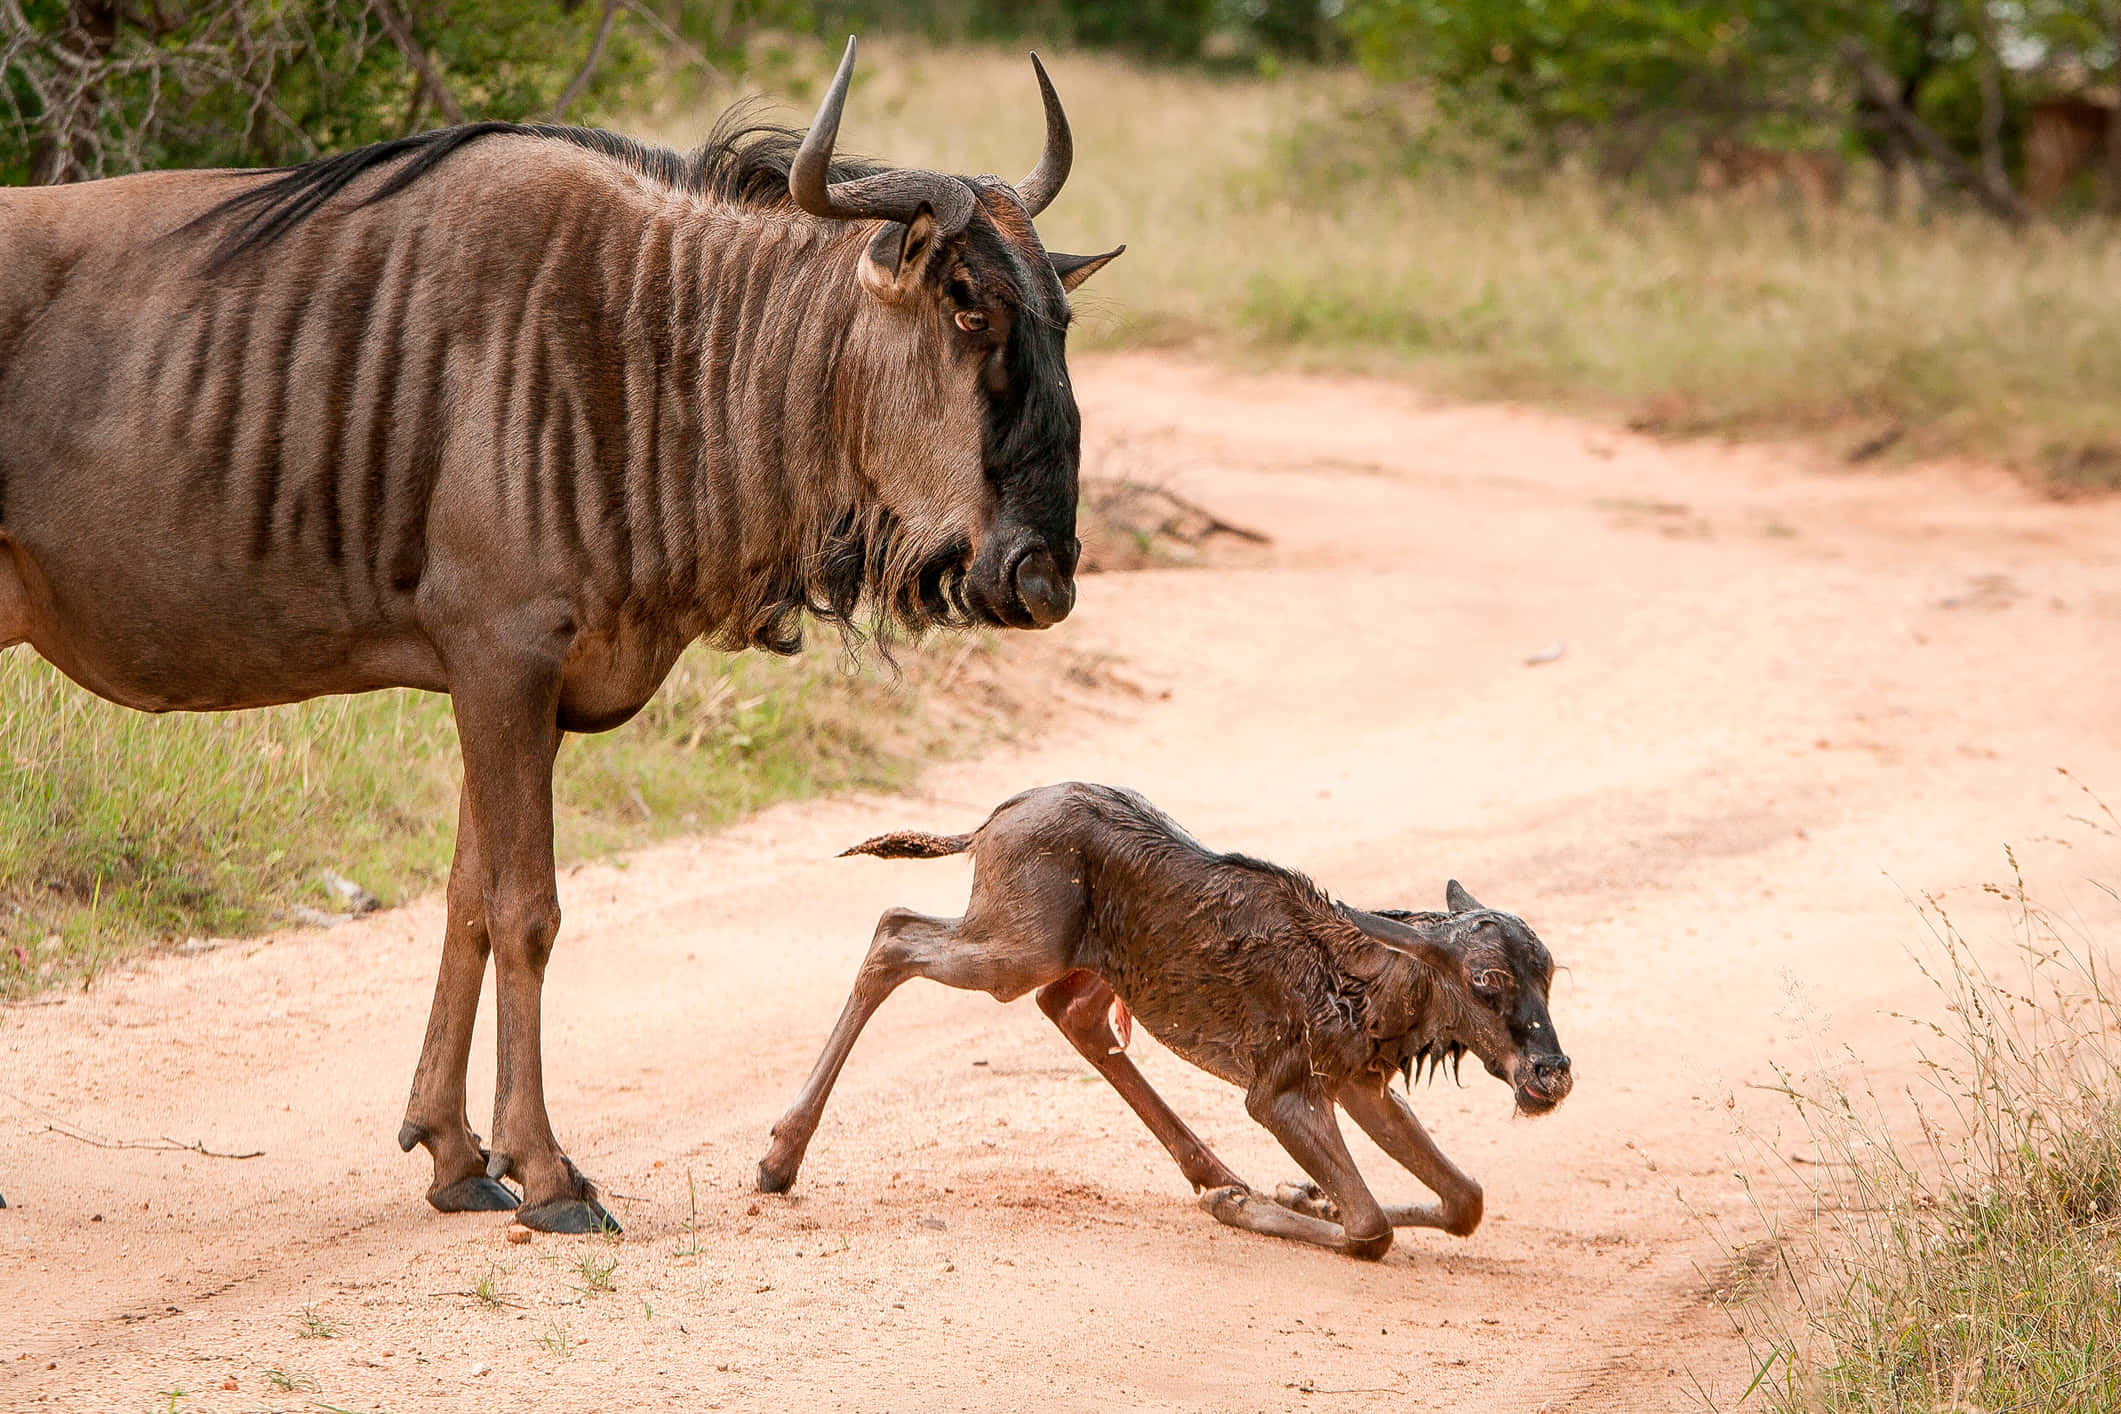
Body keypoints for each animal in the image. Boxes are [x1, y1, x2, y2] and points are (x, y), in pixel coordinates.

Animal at [0, 37, 1121, 1233]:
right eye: (965, 309)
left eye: (1058, 321)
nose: (1042, 577)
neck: (653, 349)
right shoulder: (504, 659)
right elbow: (526, 910)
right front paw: (546, 1175)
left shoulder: (509, 687)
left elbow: (465, 904)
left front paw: (454, 1156)